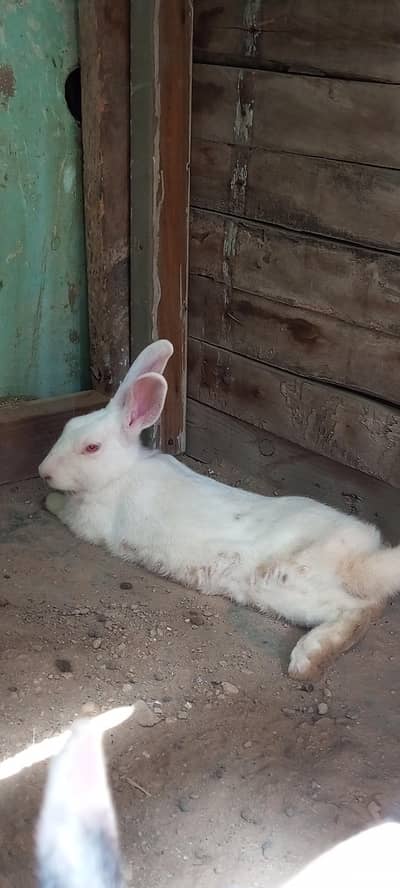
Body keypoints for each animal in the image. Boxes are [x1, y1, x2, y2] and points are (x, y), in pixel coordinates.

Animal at [38, 339, 400, 680]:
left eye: (91, 447)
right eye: (68, 426)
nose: (44, 472)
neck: (121, 472)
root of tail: (359, 559)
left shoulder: (88, 521)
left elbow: (65, 510)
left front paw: (48, 500)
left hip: (288, 582)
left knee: (357, 611)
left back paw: (306, 661)